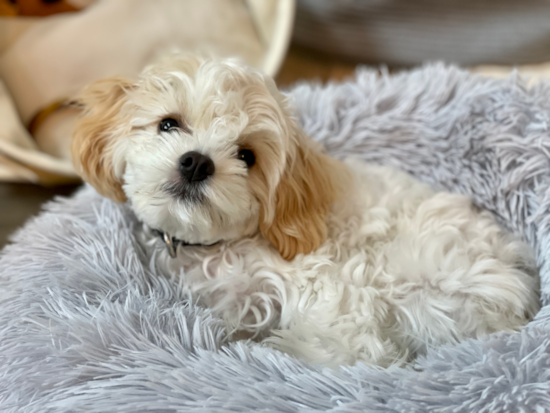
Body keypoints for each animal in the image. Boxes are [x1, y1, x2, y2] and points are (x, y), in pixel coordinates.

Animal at [71, 53, 540, 366]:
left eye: (247, 156)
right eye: (168, 124)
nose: (197, 162)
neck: (217, 248)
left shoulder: (327, 287)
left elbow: (334, 340)